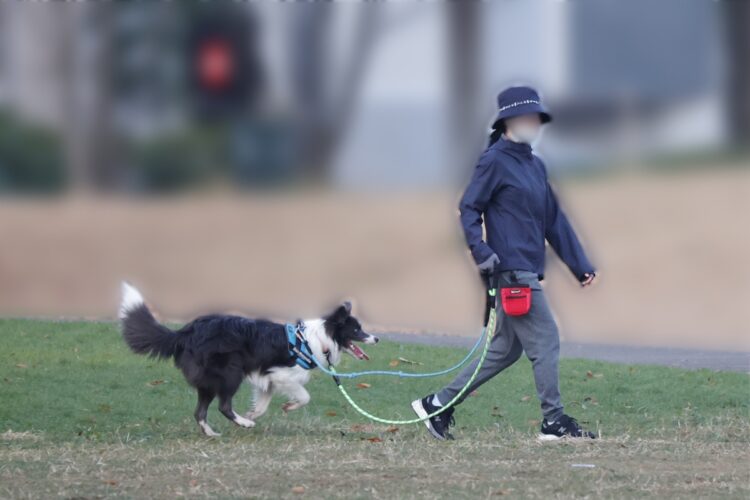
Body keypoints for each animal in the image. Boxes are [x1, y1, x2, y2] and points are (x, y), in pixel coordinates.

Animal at [119, 284, 378, 436]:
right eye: (357, 330)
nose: (376, 338)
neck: (317, 338)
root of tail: (184, 332)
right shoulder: (282, 375)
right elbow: (305, 396)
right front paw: (286, 407)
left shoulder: (268, 380)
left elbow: (262, 405)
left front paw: (253, 413)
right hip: (230, 373)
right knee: (223, 406)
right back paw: (243, 423)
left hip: (210, 381)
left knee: (200, 411)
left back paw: (213, 432)